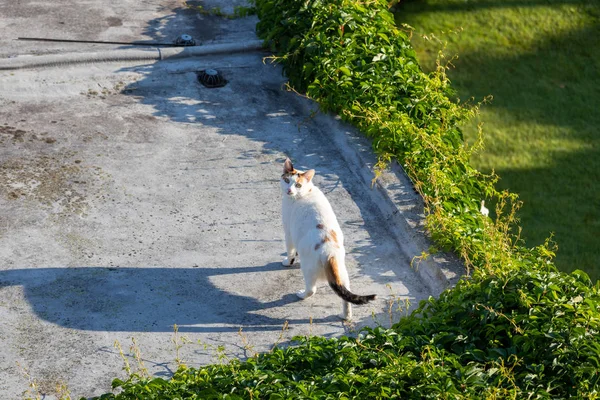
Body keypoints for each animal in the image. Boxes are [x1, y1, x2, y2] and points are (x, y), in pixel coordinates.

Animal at [280, 156, 376, 318]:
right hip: (342, 273)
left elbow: (290, 251)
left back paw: (301, 294)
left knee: (311, 290)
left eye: (298, 185)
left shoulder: (289, 231)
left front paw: (288, 261)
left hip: (309, 269)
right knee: (345, 297)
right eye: (287, 180)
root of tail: (329, 252)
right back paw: (345, 316)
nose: (289, 190)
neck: (306, 192)